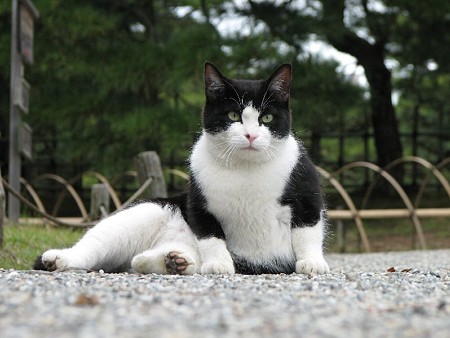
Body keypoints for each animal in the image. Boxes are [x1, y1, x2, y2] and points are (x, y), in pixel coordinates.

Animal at [34, 62, 330, 276]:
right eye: (233, 115)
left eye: (266, 117)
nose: (250, 135)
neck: (246, 169)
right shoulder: (199, 204)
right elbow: (211, 235)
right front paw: (219, 264)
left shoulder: (307, 191)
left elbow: (307, 231)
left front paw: (312, 262)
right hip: (144, 212)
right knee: (96, 244)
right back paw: (58, 259)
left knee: (139, 261)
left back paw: (172, 261)